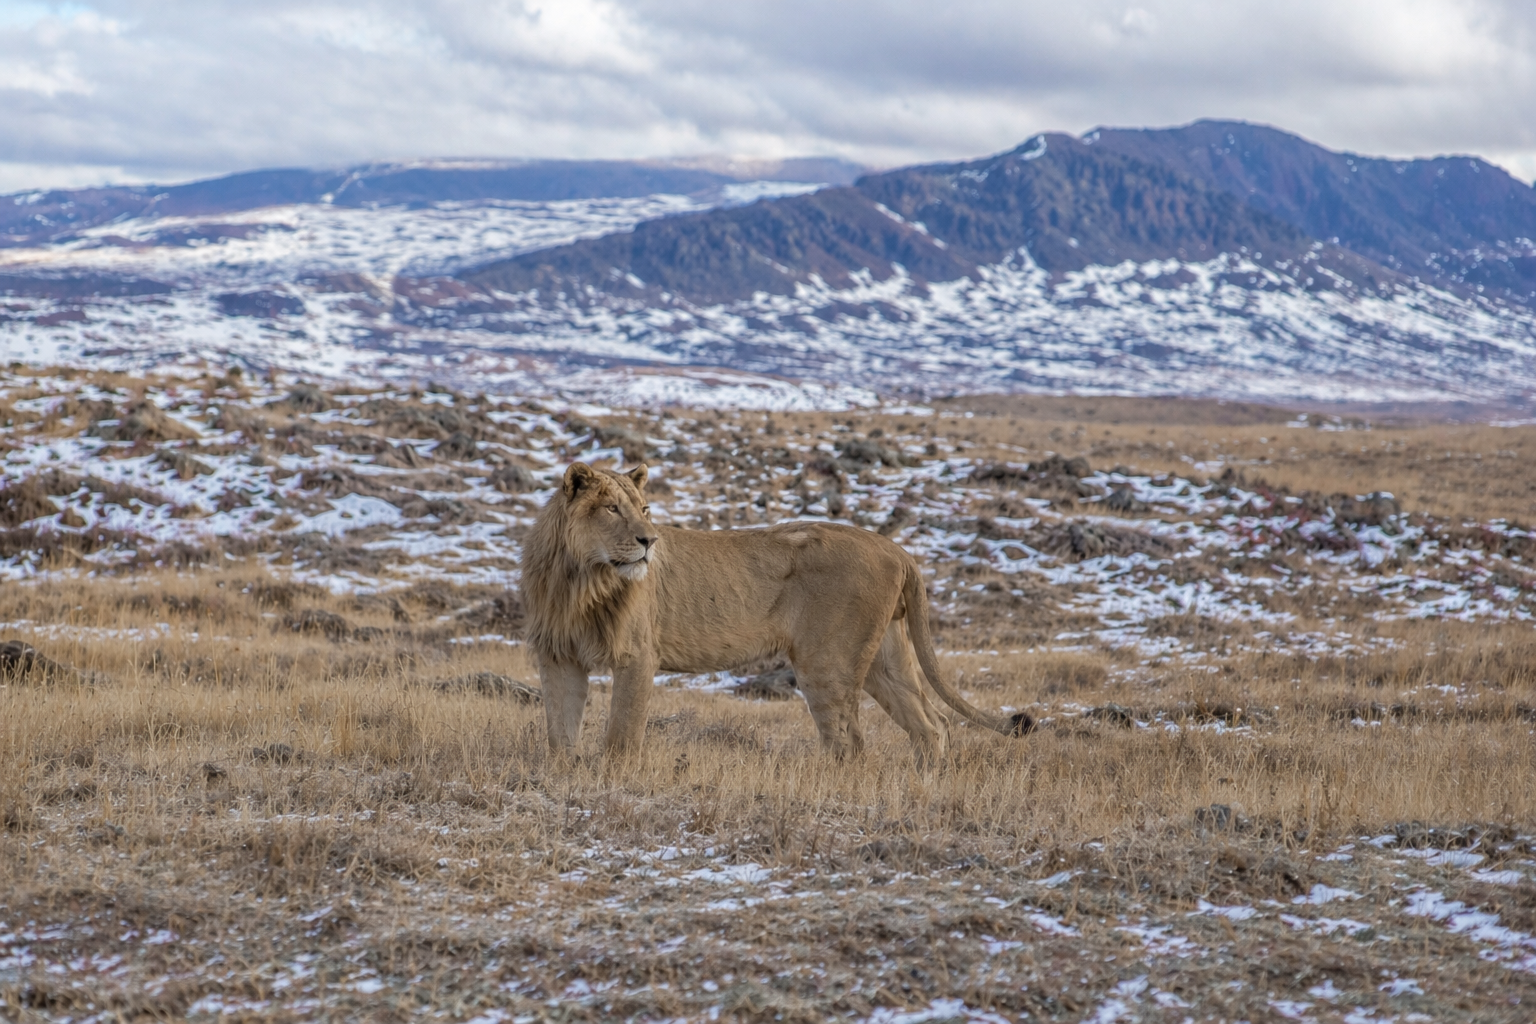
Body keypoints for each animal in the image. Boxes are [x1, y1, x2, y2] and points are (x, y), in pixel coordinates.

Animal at [520, 462, 1033, 764]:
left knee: (849, 741)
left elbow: (622, 734)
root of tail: (896, 548)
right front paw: (565, 777)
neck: (581, 578)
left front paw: (614, 781)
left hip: (827, 660)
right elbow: (559, 729)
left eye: (644, 509)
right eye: (611, 508)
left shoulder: (636, 655)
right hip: (885, 657)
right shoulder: (558, 656)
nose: (650, 540)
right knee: (931, 725)